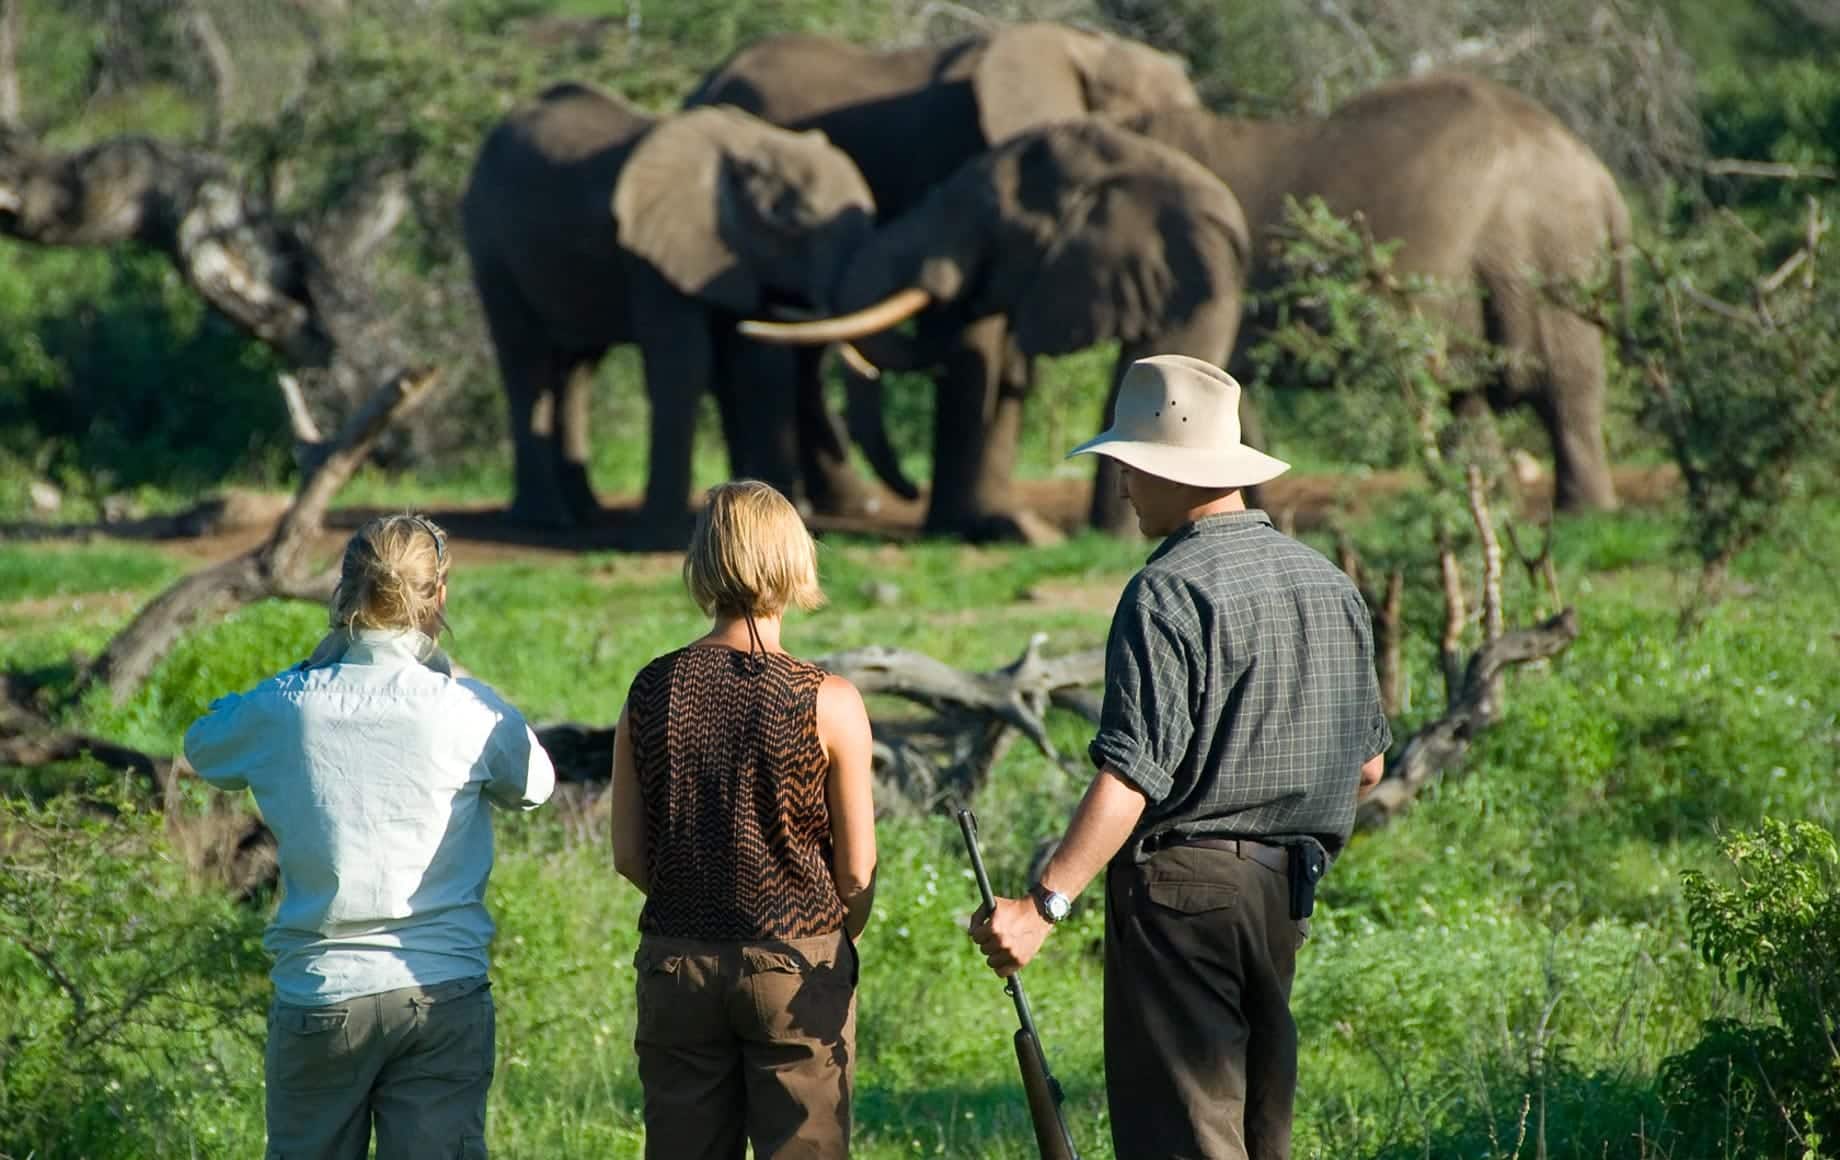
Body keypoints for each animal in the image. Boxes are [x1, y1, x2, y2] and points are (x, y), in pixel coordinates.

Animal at [460, 84, 890, 537]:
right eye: (792, 221)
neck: (749, 143)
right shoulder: (654, 255)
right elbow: (683, 363)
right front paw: (660, 532)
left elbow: (759, 368)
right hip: (490, 246)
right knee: (527, 362)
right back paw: (547, 519)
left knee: (578, 369)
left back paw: (584, 512)